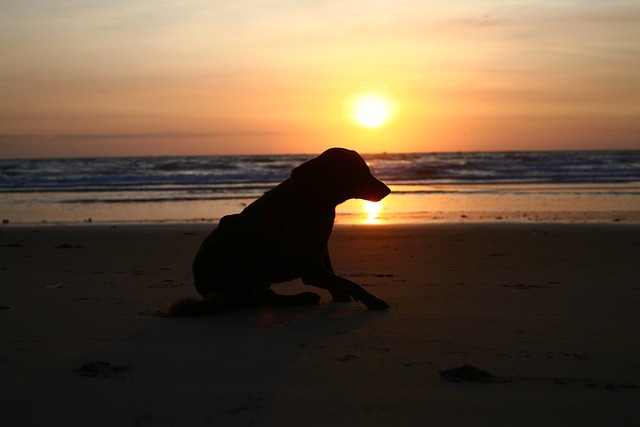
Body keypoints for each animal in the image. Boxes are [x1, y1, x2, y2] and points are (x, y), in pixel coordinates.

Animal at [169, 149, 390, 316]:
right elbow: (348, 282)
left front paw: (339, 295)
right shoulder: (310, 263)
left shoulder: (319, 251)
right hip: (236, 231)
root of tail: (205, 290)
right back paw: (300, 297)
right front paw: (371, 300)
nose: (388, 190)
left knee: (265, 295)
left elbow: (333, 272)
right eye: (359, 172)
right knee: (262, 298)